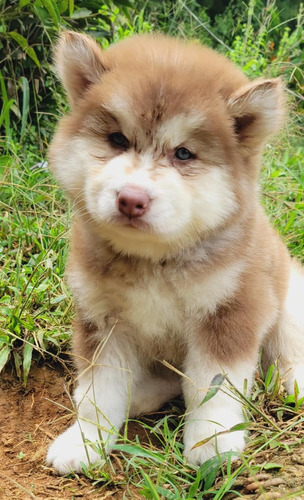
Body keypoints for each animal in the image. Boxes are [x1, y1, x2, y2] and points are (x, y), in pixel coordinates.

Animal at [45, 29, 304, 474]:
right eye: (117, 140)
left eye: (183, 153)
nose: (131, 200)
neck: (155, 261)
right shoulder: (102, 321)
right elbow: (100, 390)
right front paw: (85, 440)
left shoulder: (230, 312)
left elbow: (211, 387)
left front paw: (212, 443)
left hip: (290, 299)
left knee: (286, 350)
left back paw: (292, 382)